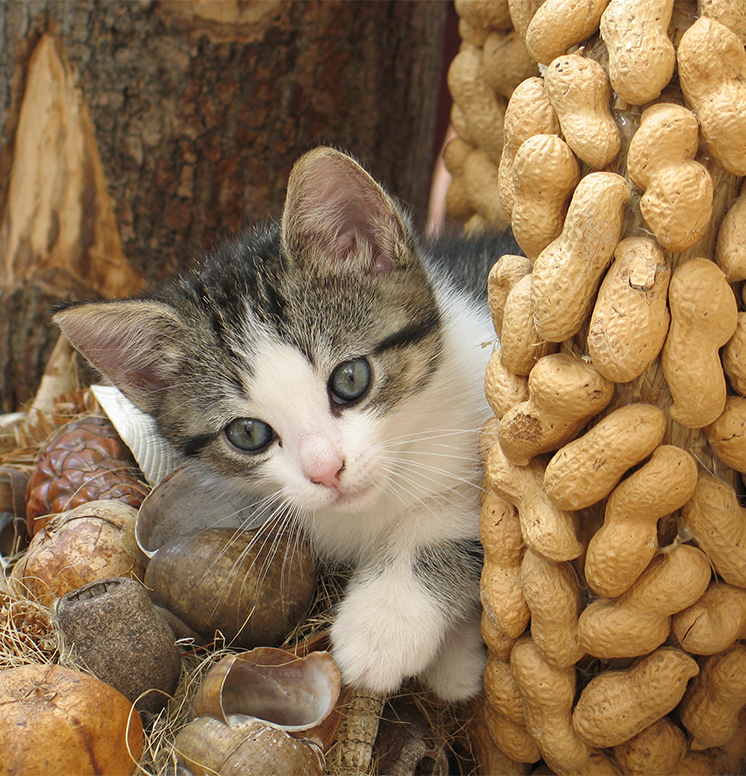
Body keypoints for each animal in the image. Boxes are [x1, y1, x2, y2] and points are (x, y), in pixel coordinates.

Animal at [55, 147, 502, 704]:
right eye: (248, 434)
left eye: (350, 379)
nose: (327, 471)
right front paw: (450, 657)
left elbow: (457, 515)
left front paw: (383, 625)